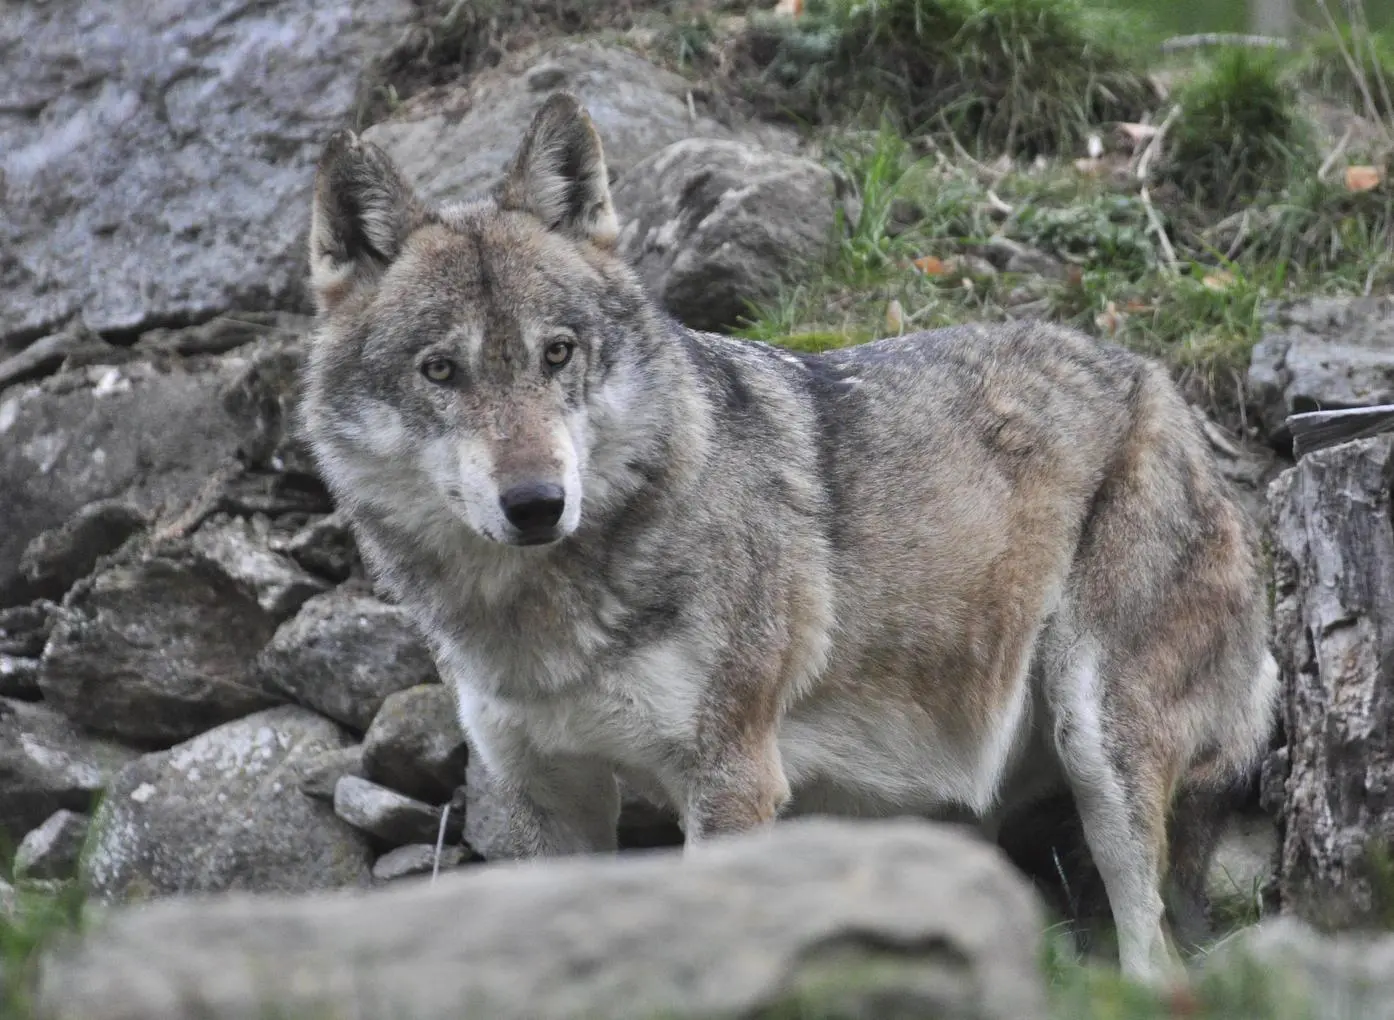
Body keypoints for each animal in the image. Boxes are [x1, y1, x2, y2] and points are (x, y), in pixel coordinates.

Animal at [299, 91, 1276, 986]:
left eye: (558, 353)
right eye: (440, 370)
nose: (537, 503)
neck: (544, 618)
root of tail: (1161, 384)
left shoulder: (732, 781)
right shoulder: (548, 797)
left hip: (1098, 745)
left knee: (1157, 957)